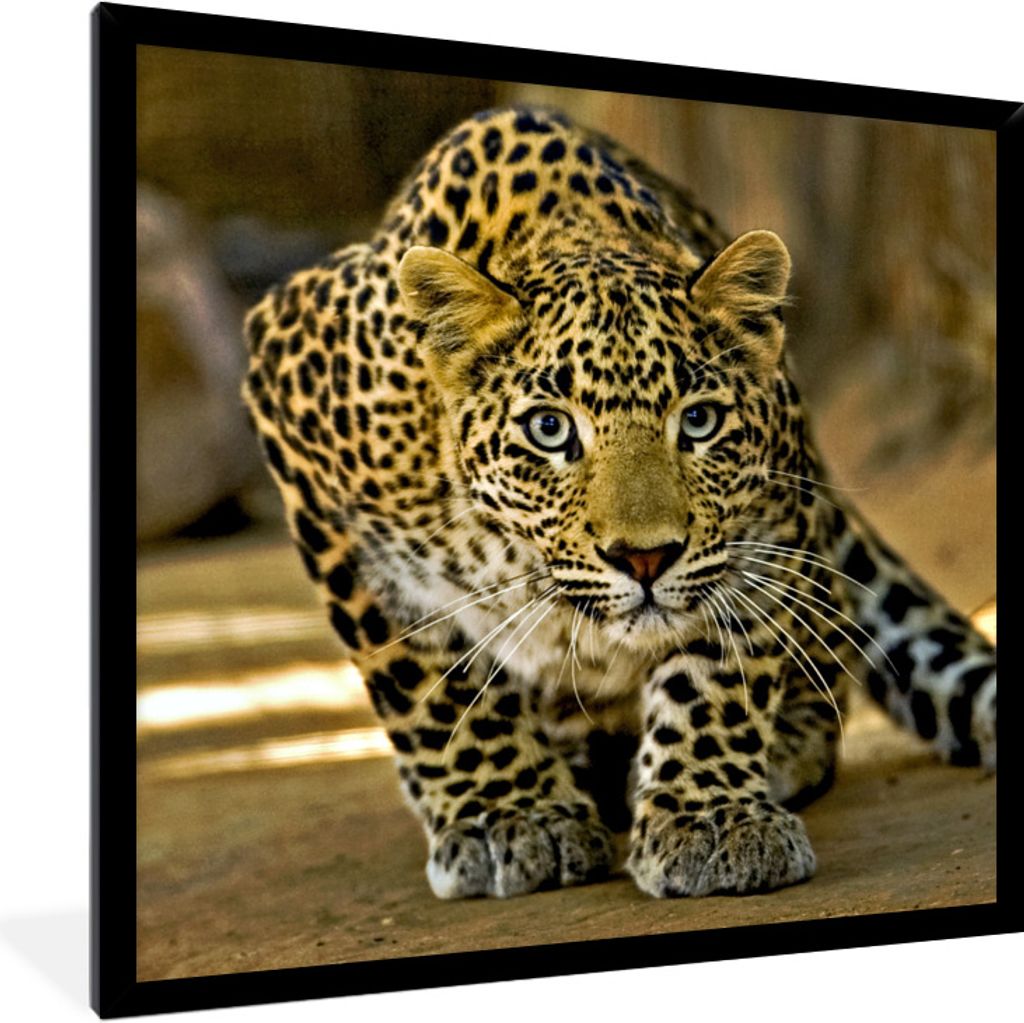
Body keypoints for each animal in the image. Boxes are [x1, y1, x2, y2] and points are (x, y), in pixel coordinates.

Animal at [242, 106, 997, 899]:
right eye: (549, 429)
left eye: (699, 421)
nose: (646, 558)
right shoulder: (296, 415)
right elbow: (425, 678)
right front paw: (507, 816)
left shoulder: (765, 519)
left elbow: (716, 674)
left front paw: (710, 818)